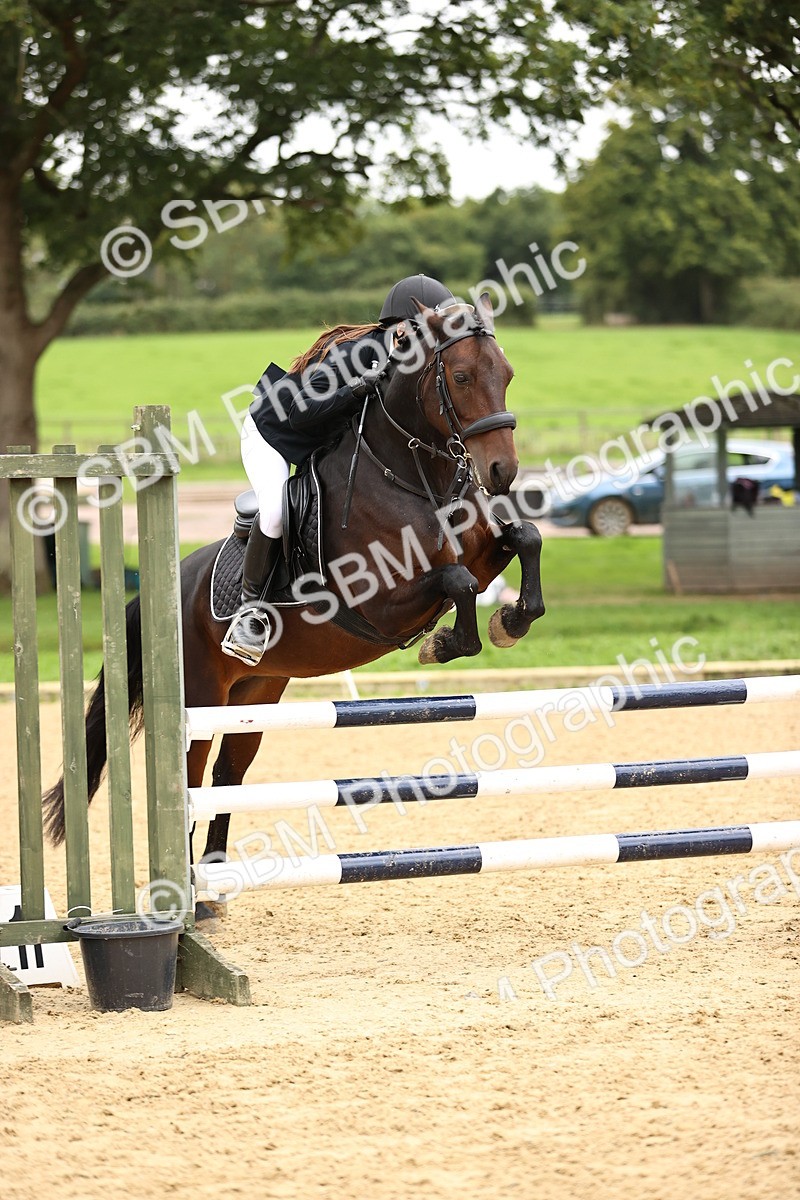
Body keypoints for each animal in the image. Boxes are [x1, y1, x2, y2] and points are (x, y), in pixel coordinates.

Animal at [43, 295, 545, 878]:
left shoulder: (483, 557)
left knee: (228, 775)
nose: (502, 471)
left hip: (255, 692)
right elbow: (457, 581)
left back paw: (214, 877)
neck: (414, 478)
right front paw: (443, 644)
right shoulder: (380, 603)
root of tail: (159, 590)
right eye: (461, 376)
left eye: (507, 374)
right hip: (202, 697)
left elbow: (525, 538)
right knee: (192, 775)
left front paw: (509, 621)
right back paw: (186, 883)